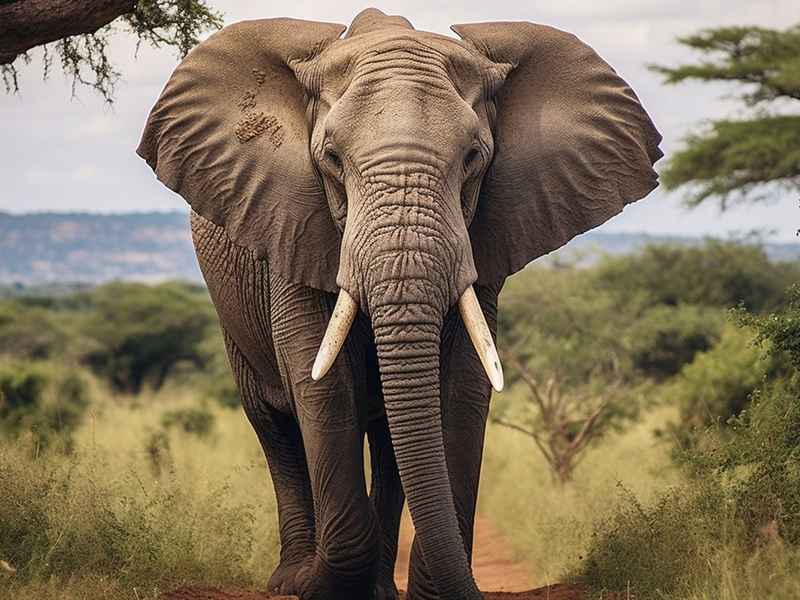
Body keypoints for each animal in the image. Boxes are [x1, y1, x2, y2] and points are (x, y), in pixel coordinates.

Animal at [137, 8, 661, 600]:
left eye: (474, 158)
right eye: (331, 159)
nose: (467, 586)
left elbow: (462, 383)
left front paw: (427, 589)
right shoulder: (290, 221)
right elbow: (319, 382)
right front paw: (322, 587)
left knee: (389, 432)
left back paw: (379, 588)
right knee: (272, 420)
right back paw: (292, 578)